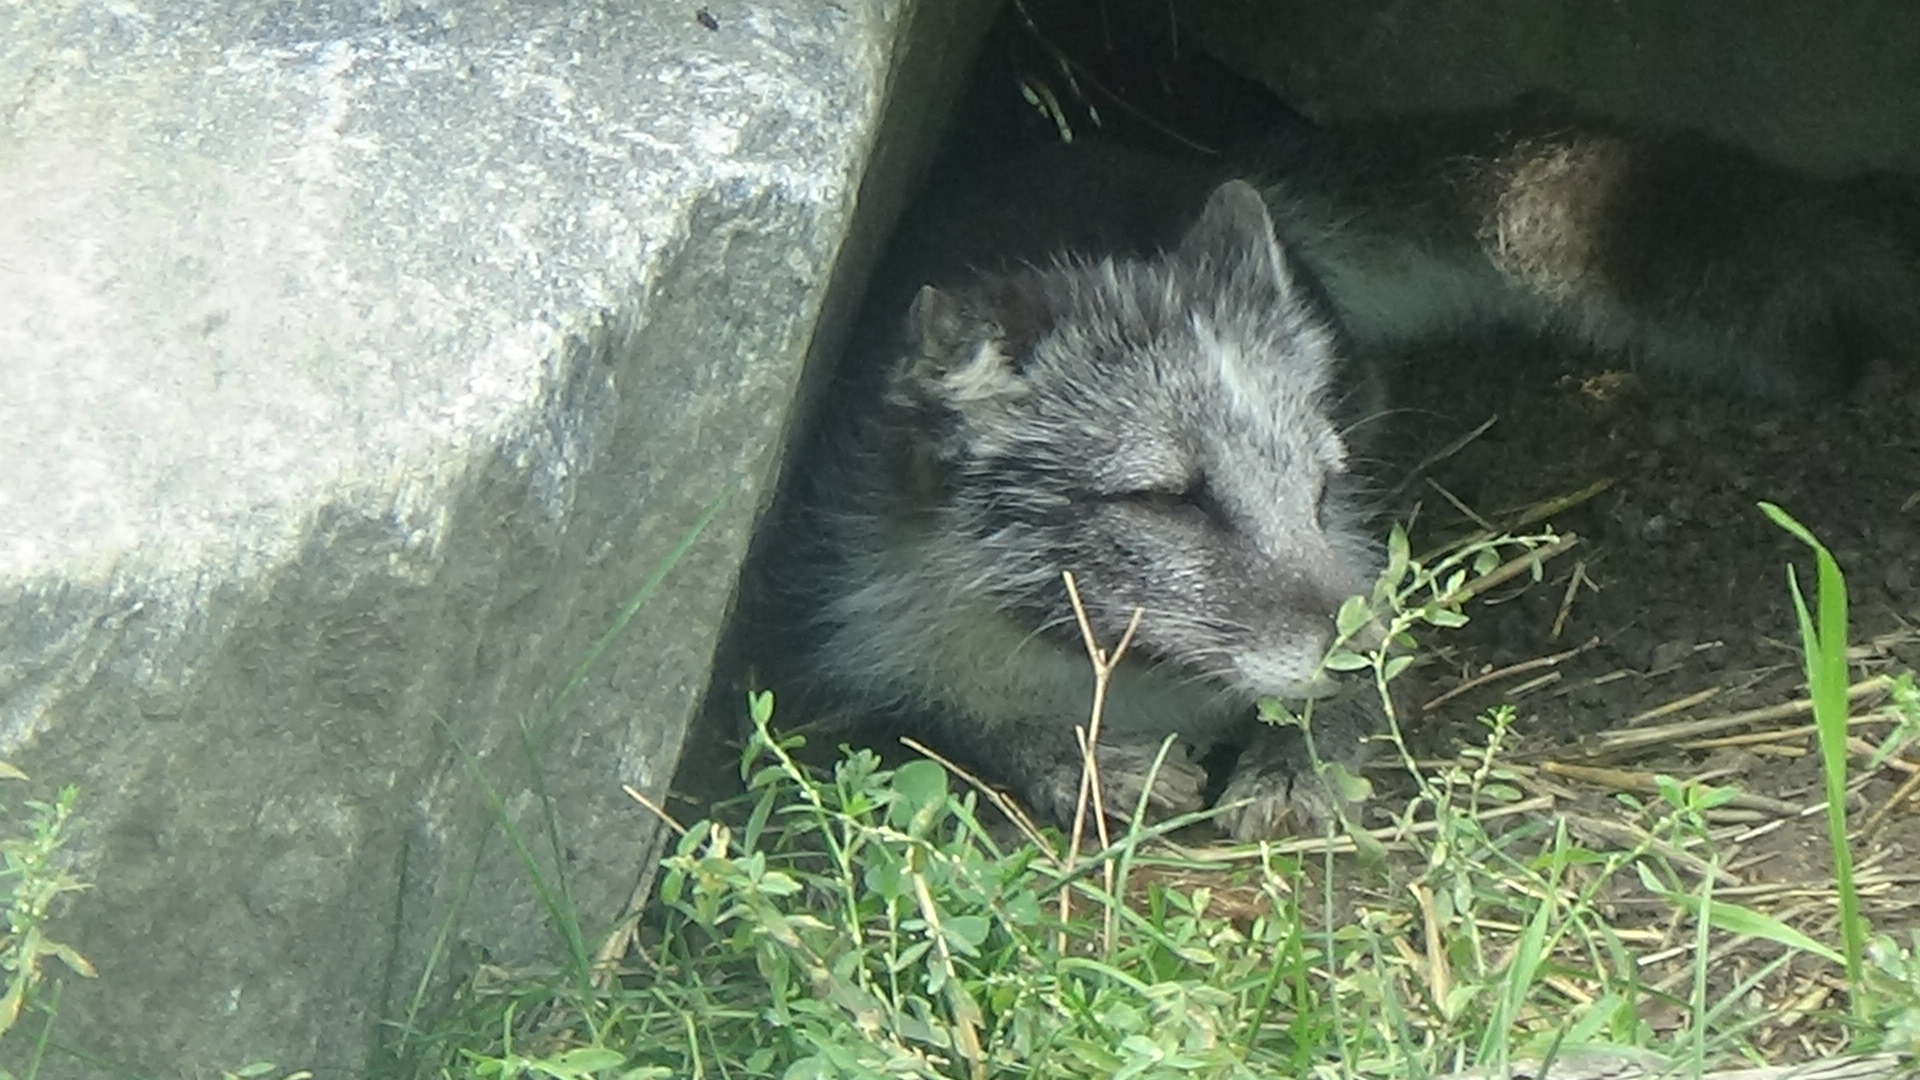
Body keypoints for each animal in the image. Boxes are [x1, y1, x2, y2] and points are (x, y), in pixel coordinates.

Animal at [720, 102, 1919, 840]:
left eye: (1321, 488)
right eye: (1169, 498)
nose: (1363, 649)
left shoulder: (1358, 554)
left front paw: (1298, 760)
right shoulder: (848, 632)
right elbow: (955, 718)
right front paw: (1081, 758)